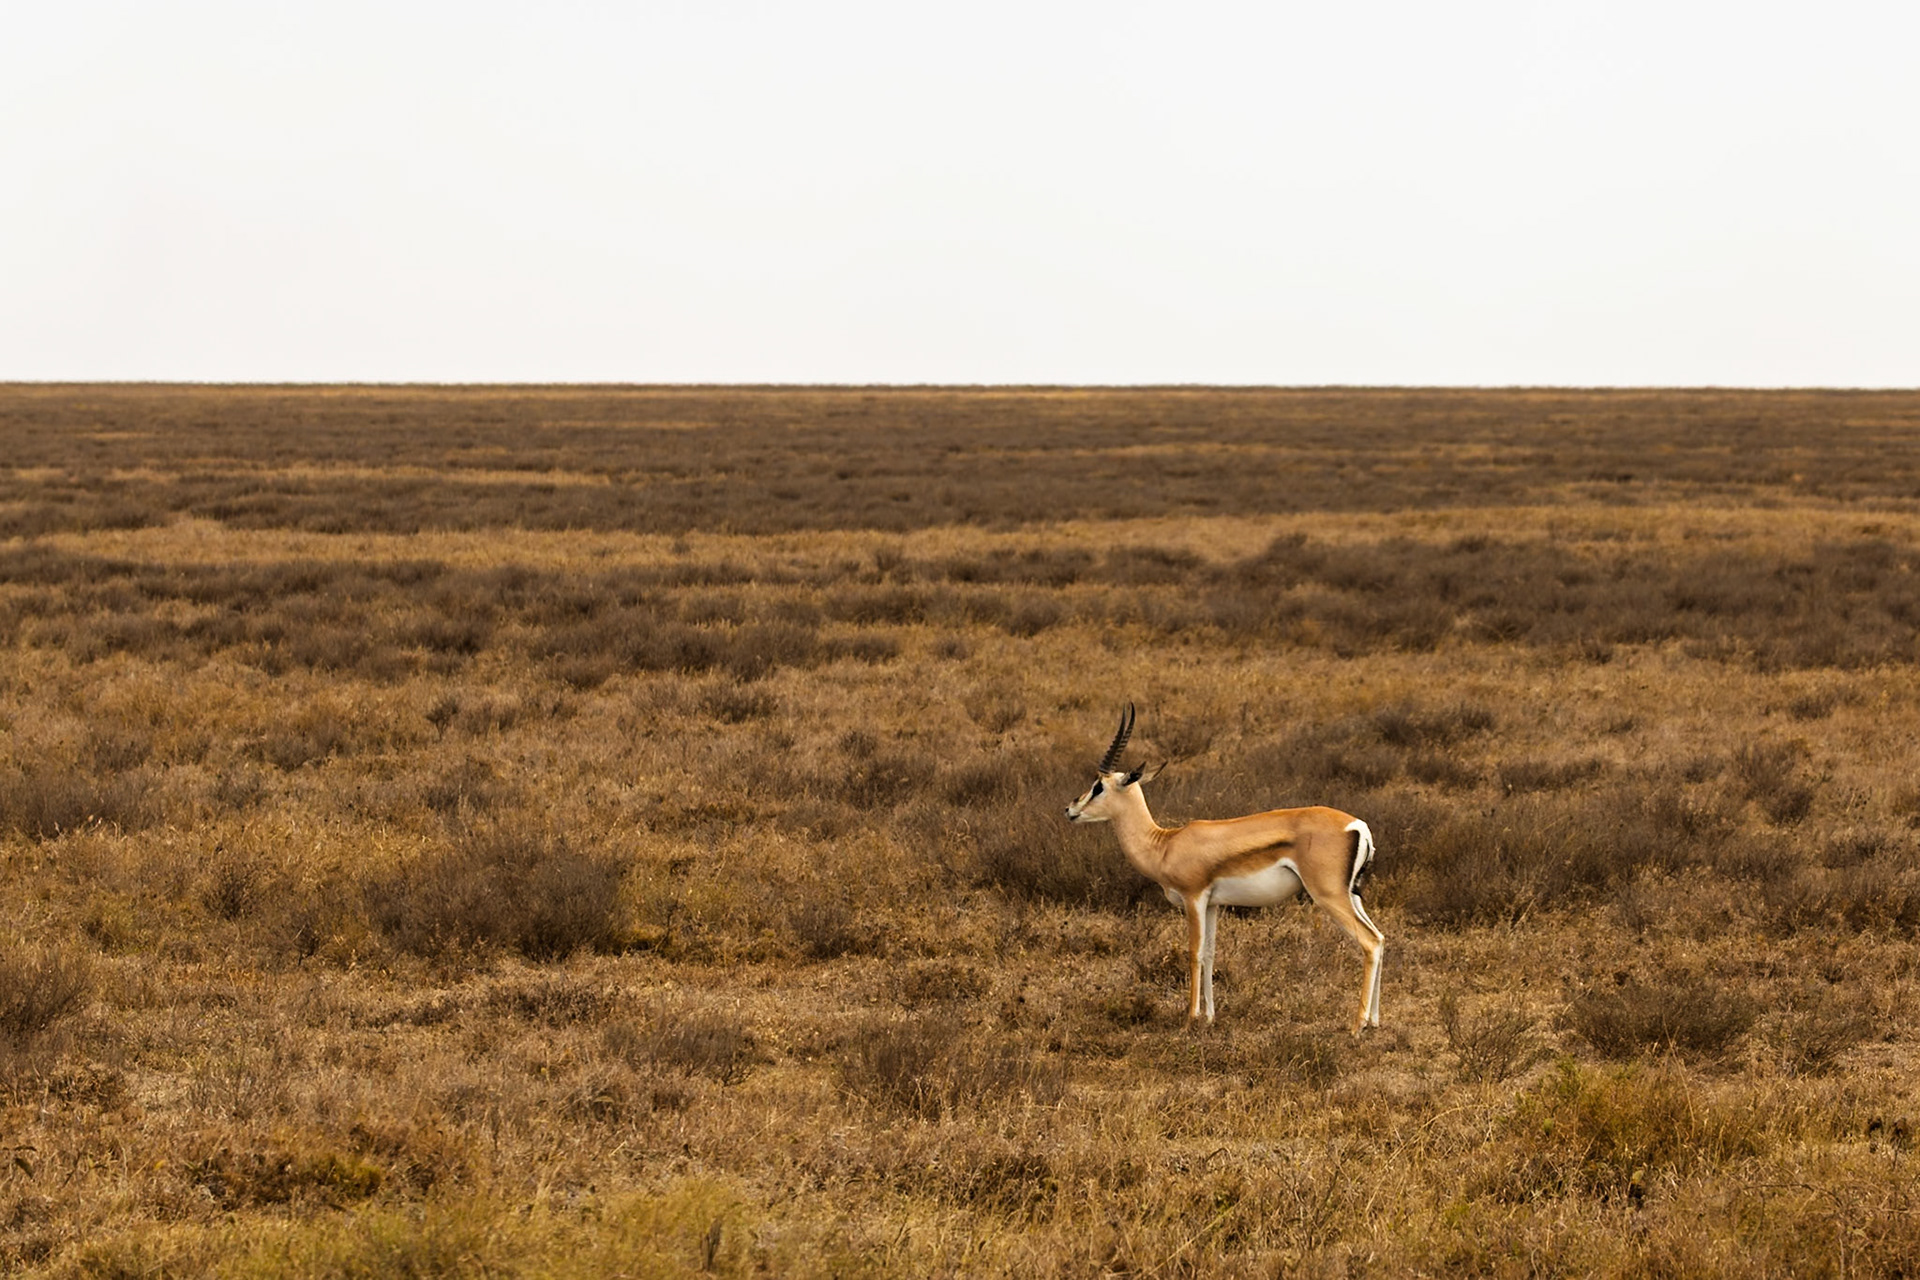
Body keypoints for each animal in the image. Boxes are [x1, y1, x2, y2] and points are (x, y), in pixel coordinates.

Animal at [1065, 704, 1384, 1035]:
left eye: (1098, 786)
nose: (1070, 809)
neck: (1165, 844)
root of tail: (1358, 826)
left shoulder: (1193, 898)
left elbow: (1193, 952)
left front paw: (1190, 1019)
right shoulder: (1213, 904)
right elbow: (1209, 953)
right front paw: (1209, 1017)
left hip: (1328, 895)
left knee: (1369, 941)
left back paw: (1357, 1026)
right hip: (1352, 895)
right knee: (1381, 938)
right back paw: (1374, 1021)